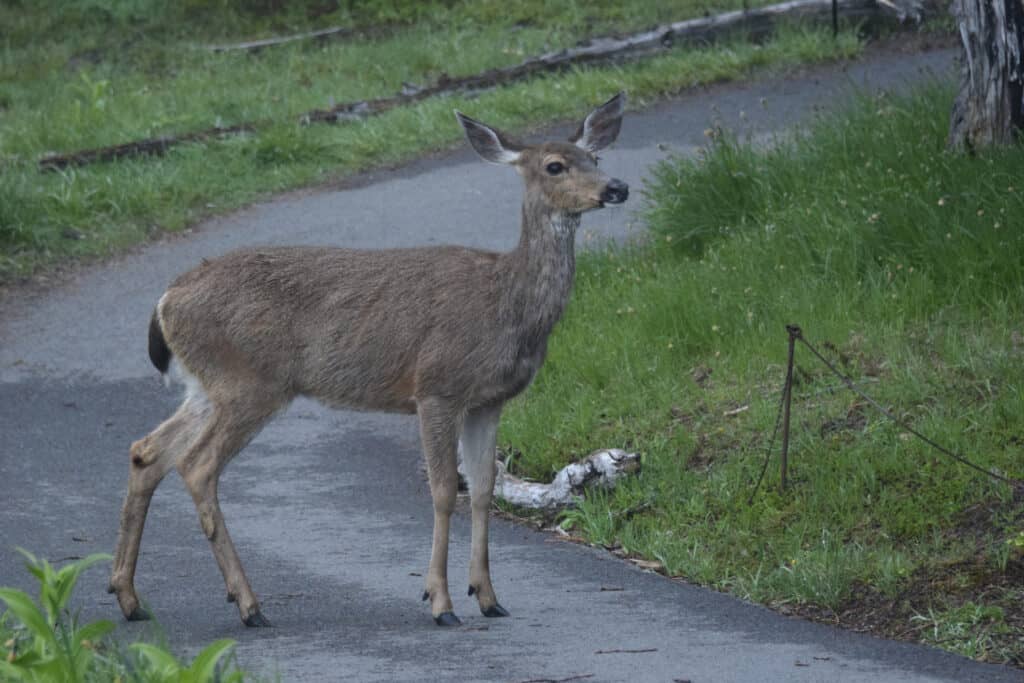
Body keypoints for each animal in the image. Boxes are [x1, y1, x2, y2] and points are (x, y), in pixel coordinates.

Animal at [108, 92, 626, 630]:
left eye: (596, 157)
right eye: (555, 165)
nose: (617, 188)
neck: (507, 302)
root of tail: (167, 299)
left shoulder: (488, 401)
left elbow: (482, 489)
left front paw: (487, 596)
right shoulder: (436, 386)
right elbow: (445, 491)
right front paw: (440, 602)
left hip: (208, 385)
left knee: (147, 451)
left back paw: (130, 598)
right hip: (247, 381)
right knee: (196, 465)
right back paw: (249, 605)